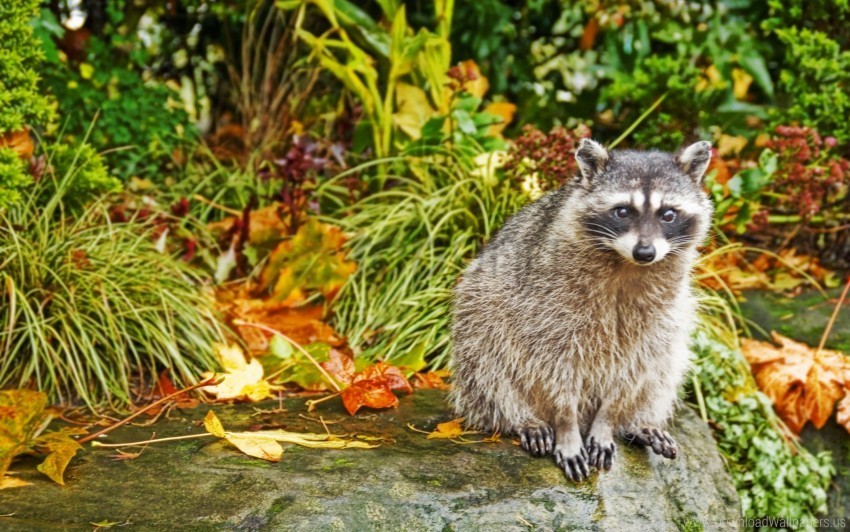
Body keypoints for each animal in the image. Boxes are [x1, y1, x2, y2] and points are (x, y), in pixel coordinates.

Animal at [448, 138, 712, 482]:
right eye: (622, 211)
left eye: (668, 214)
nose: (645, 252)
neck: (625, 264)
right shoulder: (547, 302)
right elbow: (553, 364)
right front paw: (566, 426)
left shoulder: (659, 310)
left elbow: (636, 365)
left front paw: (609, 421)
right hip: (480, 304)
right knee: (487, 361)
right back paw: (521, 416)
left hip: (673, 319)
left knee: (665, 363)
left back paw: (638, 421)